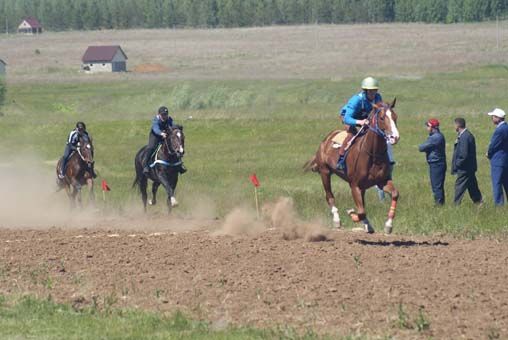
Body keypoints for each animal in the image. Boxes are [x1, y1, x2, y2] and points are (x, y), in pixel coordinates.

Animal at [306, 99, 400, 234]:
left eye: (395, 117)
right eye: (382, 118)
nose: (394, 137)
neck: (373, 154)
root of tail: (326, 139)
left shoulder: (382, 181)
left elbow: (395, 194)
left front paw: (388, 225)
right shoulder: (354, 185)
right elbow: (361, 212)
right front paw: (351, 213)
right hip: (325, 172)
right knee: (329, 196)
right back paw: (337, 220)